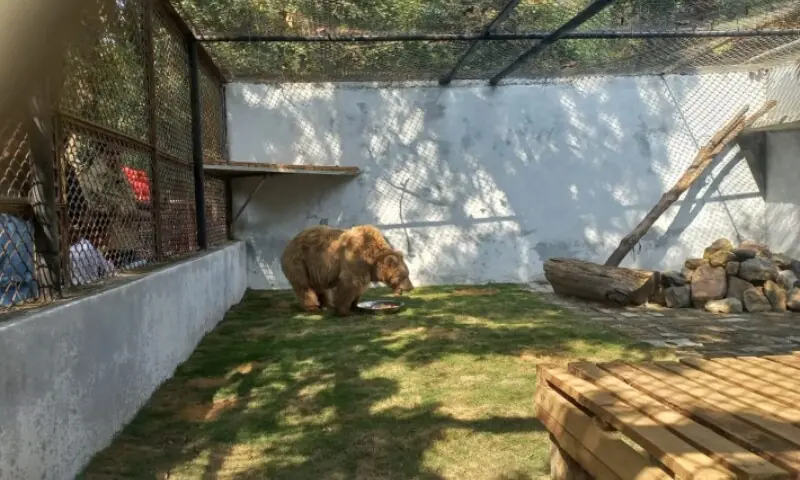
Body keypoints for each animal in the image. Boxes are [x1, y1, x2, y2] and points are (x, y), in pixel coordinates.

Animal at [280, 224, 414, 316]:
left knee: (320, 287)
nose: (411, 287)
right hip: (300, 262)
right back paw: (312, 307)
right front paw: (345, 310)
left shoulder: (364, 270)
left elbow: (359, 287)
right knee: (303, 286)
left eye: (408, 273)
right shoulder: (353, 259)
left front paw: (355, 305)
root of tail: (289, 243)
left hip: (314, 268)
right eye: (404, 275)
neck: (372, 260)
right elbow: (349, 284)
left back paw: (326, 305)